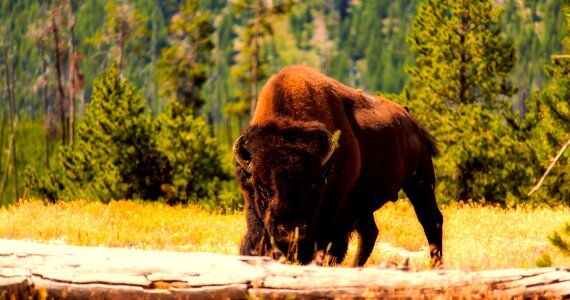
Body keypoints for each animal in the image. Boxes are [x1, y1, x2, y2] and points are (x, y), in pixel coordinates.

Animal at [233, 65, 442, 268]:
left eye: (313, 186)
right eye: (261, 188)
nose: (291, 231)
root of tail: (412, 122)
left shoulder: (335, 212)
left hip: (420, 182)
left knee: (431, 220)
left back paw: (436, 265)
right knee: (370, 233)